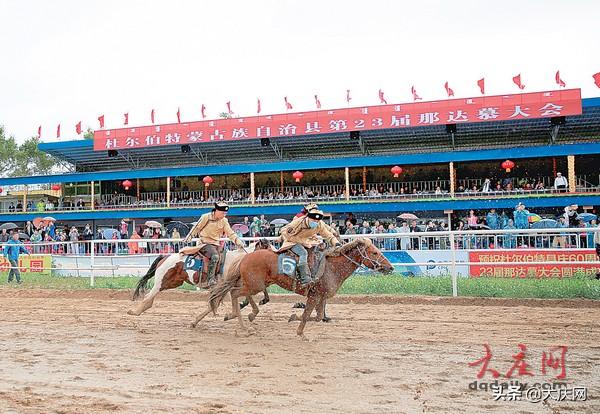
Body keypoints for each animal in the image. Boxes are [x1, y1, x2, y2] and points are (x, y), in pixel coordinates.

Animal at [127, 239, 270, 316]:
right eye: (267, 248)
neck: (235, 261)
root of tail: (166, 256)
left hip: (172, 282)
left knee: (150, 298)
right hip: (161, 281)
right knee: (148, 296)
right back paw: (135, 312)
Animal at [191, 236, 394, 336]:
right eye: (374, 252)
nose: (390, 267)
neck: (331, 267)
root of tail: (245, 257)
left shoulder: (320, 297)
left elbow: (317, 317)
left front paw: (295, 319)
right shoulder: (314, 295)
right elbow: (306, 316)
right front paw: (299, 328)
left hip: (254, 283)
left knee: (228, 295)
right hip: (254, 285)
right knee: (233, 293)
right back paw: (243, 326)